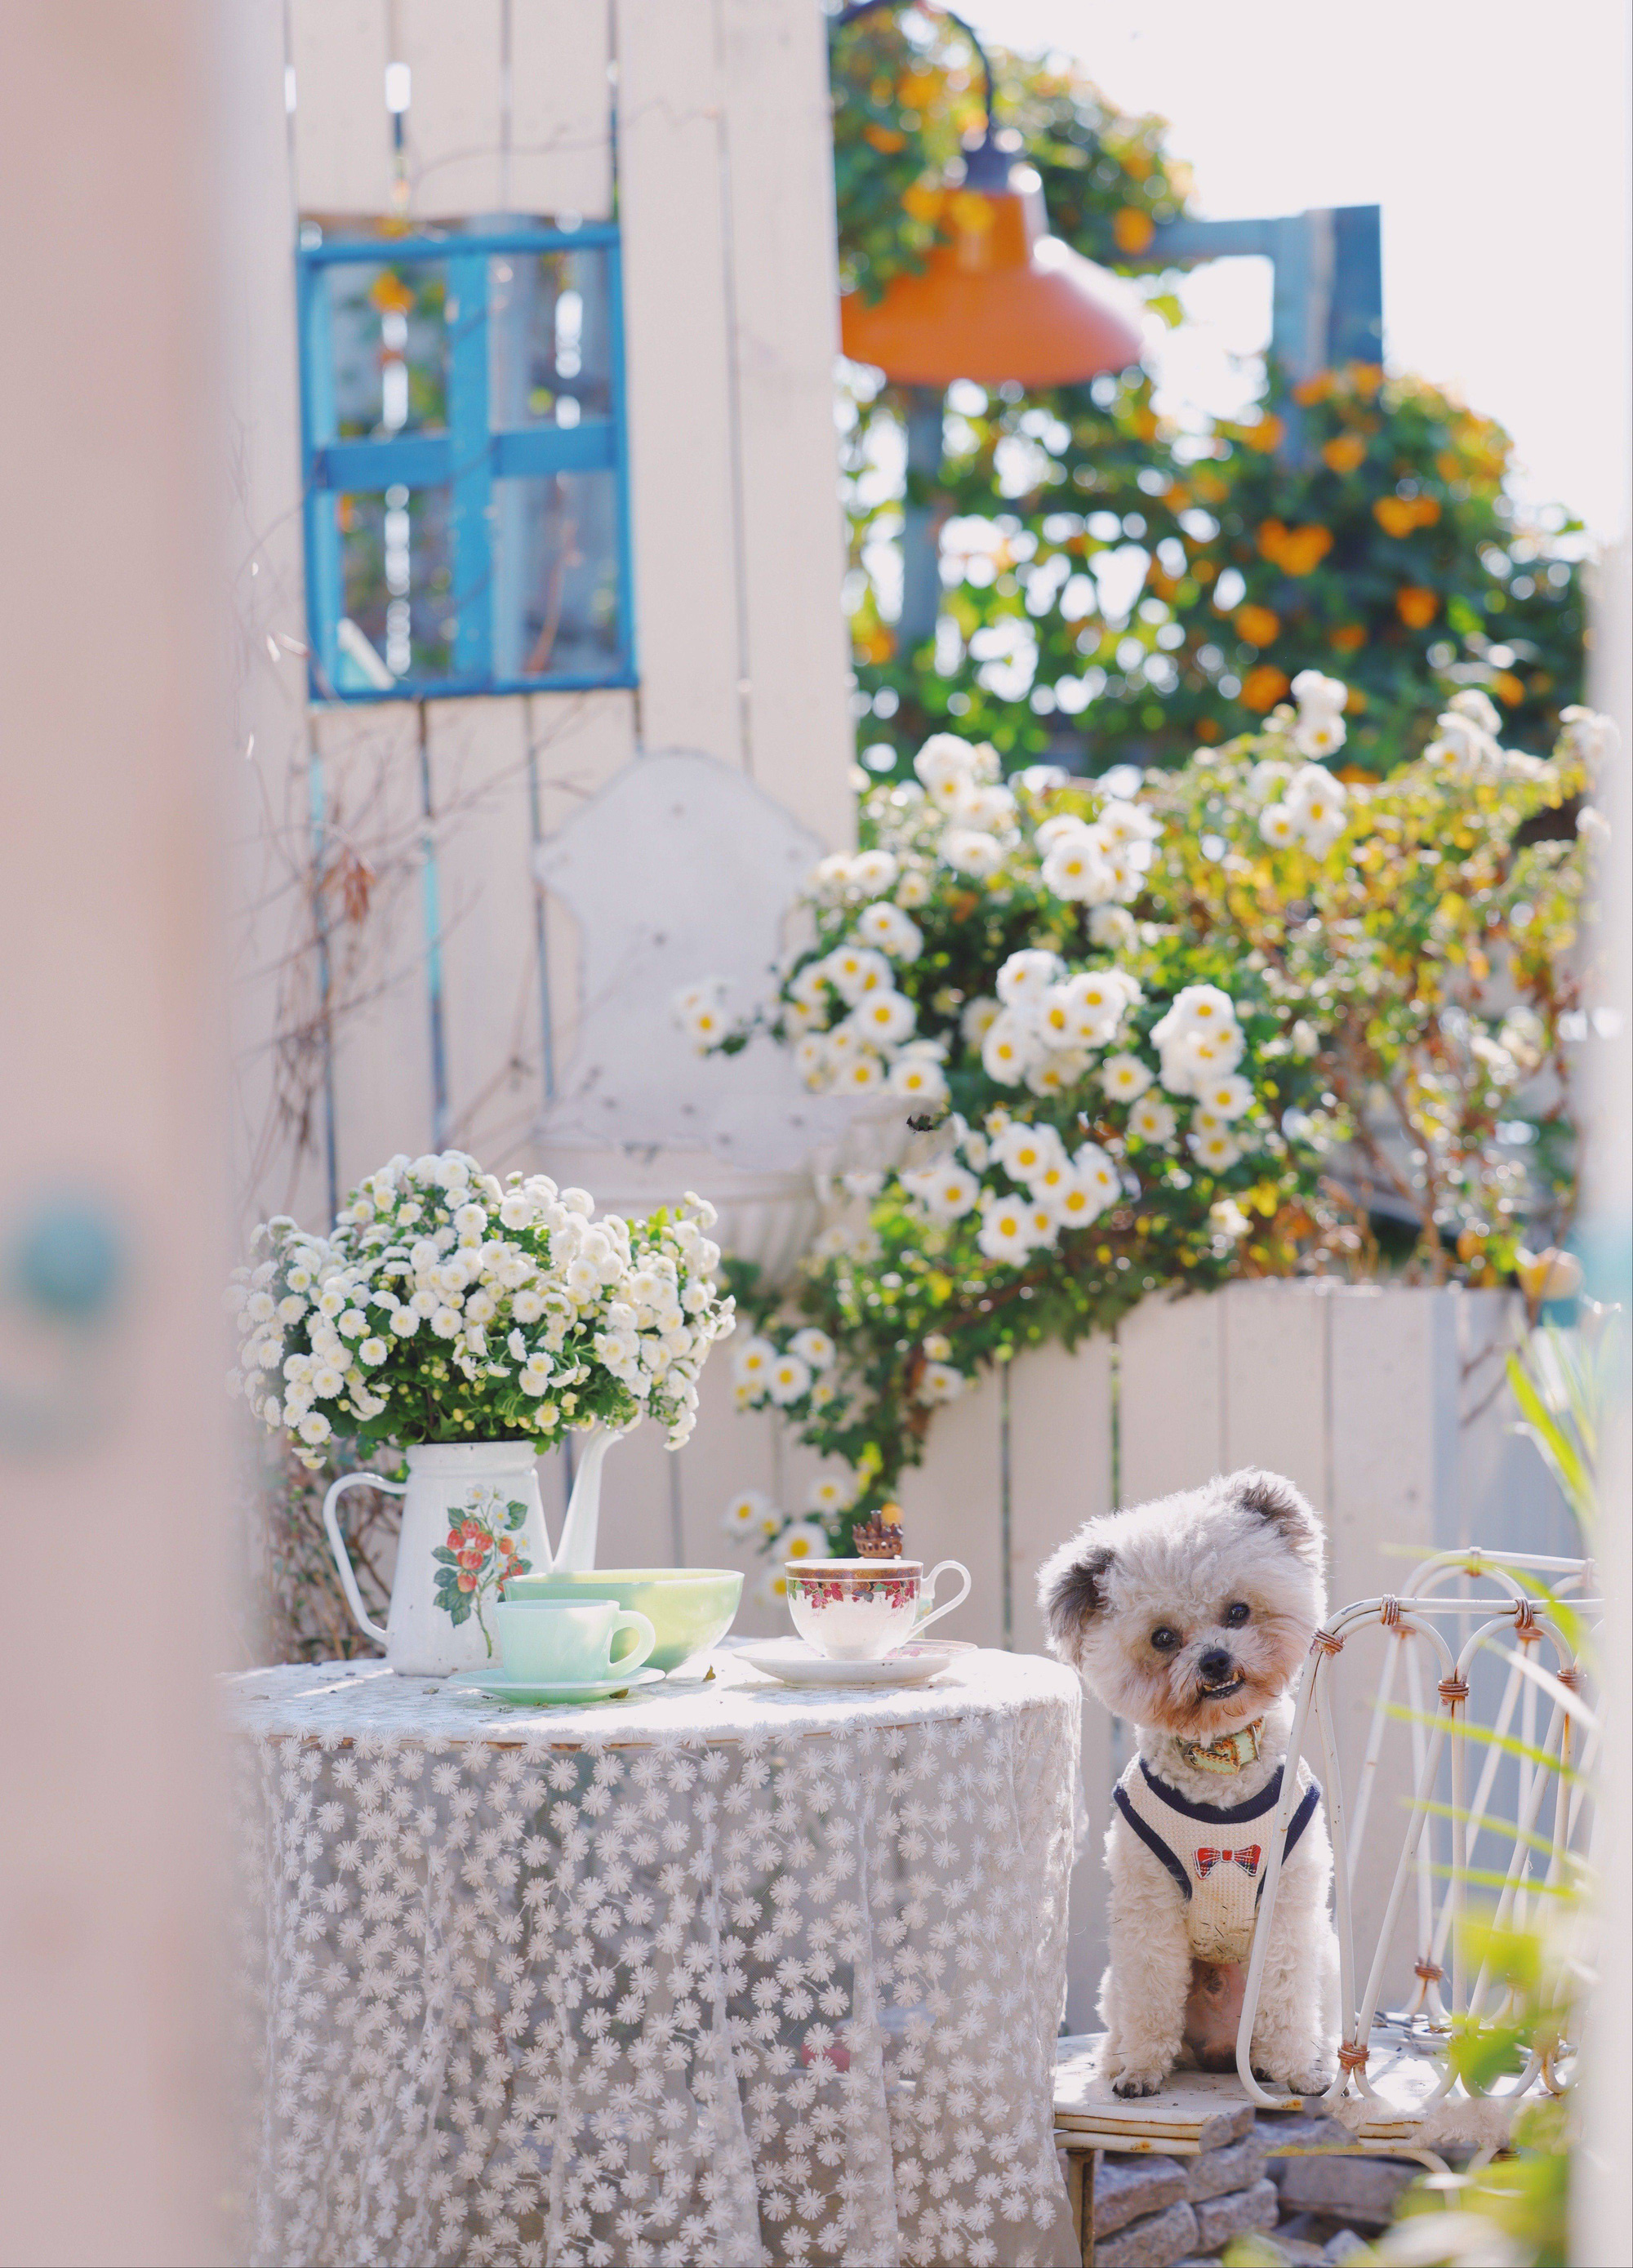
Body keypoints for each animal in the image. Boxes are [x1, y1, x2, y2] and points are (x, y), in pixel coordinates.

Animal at [1039, 1470, 1333, 2086]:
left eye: (1239, 1611)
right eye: (1163, 1639)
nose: (1215, 1660)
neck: (1219, 1760)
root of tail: (1220, 2048)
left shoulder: (1289, 1902)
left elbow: (1287, 1994)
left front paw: (1296, 2070)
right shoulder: (1148, 1904)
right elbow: (1152, 1991)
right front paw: (1140, 2071)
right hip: (1114, 1983)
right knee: (1126, 2013)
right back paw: (1118, 2058)